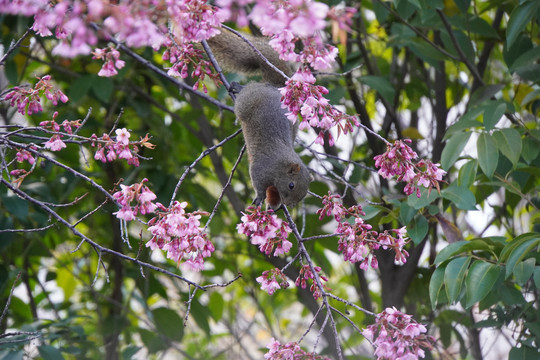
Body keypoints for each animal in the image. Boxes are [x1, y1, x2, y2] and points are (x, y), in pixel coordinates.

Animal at [208, 32, 312, 211]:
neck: (280, 167)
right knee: (245, 94)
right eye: (291, 185)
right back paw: (238, 87)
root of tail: (276, 89)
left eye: (304, 194)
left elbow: (272, 194)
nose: (290, 205)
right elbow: (258, 182)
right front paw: (259, 197)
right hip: (248, 100)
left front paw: (273, 207)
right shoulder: (261, 168)